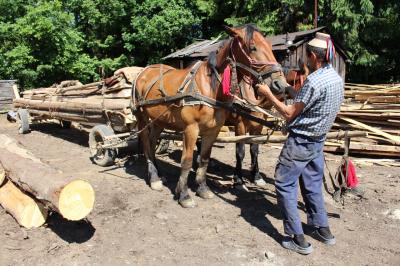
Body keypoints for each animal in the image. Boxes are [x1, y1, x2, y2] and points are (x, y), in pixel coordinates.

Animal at [133, 24, 286, 208]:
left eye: (270, 46)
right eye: (252, 47)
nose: (280, 84)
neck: (209, 88)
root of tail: (144, 72)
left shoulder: (214, 130)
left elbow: (206, 159)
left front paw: (202, 188)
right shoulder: (193, 129)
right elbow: (188, 160)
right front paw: (184, 195)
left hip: (159, 121)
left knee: (152, 141)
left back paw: (159, 174)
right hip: (142, 117)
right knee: (146, 143)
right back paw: (154, 178)